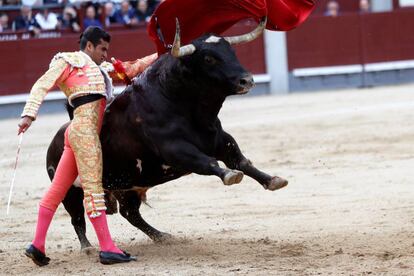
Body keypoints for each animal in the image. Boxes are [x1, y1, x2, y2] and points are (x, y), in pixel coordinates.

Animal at [44, 30, 284, 248]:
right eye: (208, 58)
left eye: (232, 51)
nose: (247, 80)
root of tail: (55, 142)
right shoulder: (175, 149)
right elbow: (208, 162)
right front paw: (230, 175)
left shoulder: (220, 140)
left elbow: (241, 161)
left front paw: (273, 180)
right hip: (71, 191)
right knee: (77, 218)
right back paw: (87, 248)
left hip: (126, 186)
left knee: (130, 213)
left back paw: (162, 236)